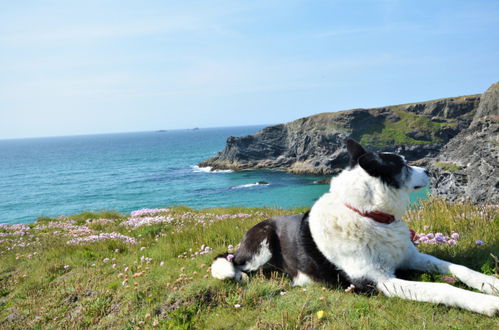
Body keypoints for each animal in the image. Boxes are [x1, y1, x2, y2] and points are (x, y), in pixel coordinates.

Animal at [212, 139, 499, 318]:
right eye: (404, 164)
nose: (430, 170)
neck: (370, 215)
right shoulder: (378, 281)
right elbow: (442, 288)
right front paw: (487, 303)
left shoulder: (410, 256)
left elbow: (459, 268)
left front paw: (491, 284)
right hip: (263, 241)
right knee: (233, 263)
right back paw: (244, 275)